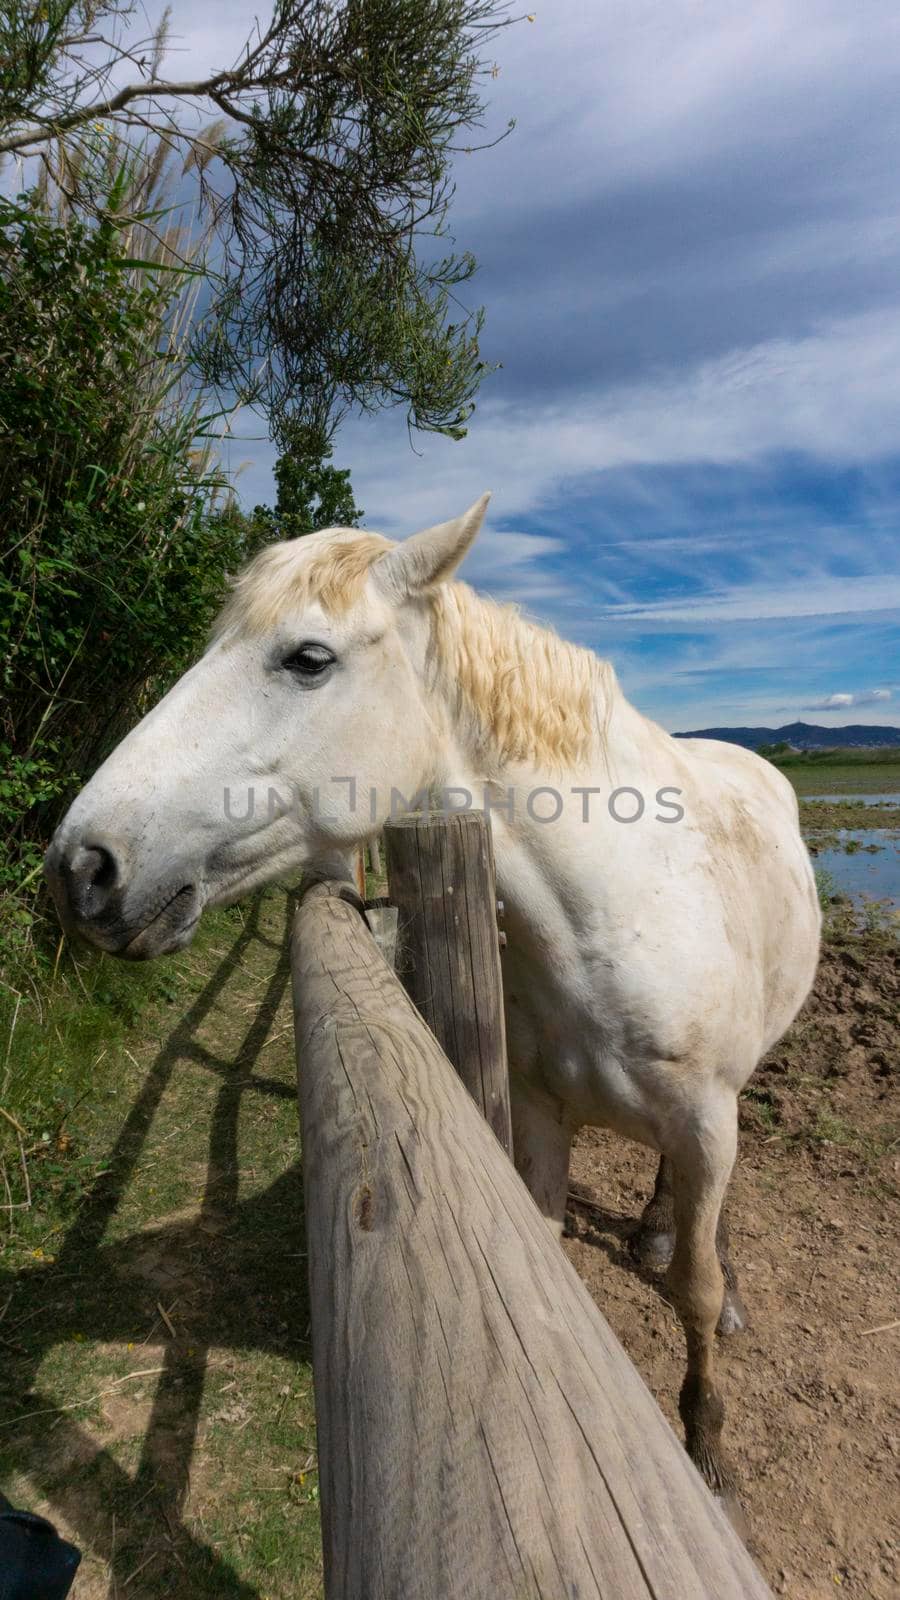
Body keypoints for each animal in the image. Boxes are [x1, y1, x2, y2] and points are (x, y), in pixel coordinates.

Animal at [45, 496, 816, 1510]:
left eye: (308, 658)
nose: (81, 869)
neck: (621, 914)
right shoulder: (538, 1116)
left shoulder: (707, 1125)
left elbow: (698, 1286)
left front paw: (708, 1439)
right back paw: (651, 1230)